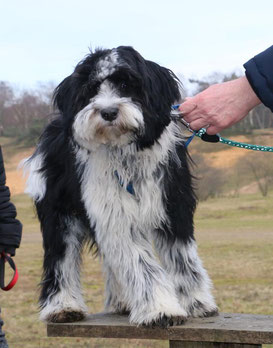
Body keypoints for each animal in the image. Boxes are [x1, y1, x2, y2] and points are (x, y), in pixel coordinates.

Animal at [25, 46, 217, 326]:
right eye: (92, 89)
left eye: (126, 84)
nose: (108, 112)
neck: (126, 151)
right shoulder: (116, 212)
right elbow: (140, 262)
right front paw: (161, 309)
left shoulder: (173, 206)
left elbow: (182, 257)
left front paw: (196, 302)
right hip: (58, 213)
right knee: (60, 258)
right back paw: (63, 306)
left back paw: (123, 302)